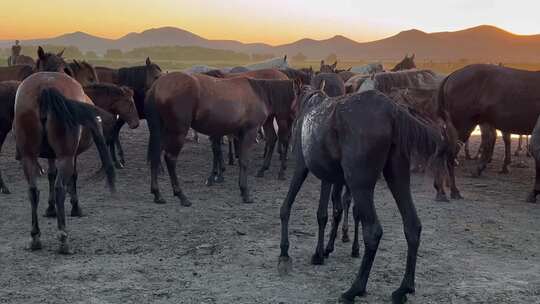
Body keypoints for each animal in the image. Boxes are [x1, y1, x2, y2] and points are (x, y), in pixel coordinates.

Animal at [13, 72, 116, 254]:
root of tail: (45, 87)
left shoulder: (50, 156)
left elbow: (51, 175)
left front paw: (50, 209)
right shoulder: (70, 156)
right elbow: (72, 177)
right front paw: (75, 207)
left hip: (28, 156)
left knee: (33, 191)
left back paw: (35, 237)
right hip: (65, 157)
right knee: (60, 188)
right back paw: (63, 238)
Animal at [144, 71, 296, 204]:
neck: (260, 93)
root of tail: (157, 86)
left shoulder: (238, 134)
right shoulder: (249, 132)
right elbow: (244, 161)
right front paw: (245, 192)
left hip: (161, 132)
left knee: (155, 156)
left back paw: (157, 194)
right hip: (177, 132)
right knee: (170, 159)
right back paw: (181, 195)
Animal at [278, 85, 448, 304]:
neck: (310, 106)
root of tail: (392, 110)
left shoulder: (301, 167)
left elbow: (287, 207)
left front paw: (284, 253)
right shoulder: (327, 178)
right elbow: (323, 214)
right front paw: (320, 253)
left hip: (360, 185)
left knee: (373, 232)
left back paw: (354, 289)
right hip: (397, 177)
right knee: (412, 225)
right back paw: (403, 289)